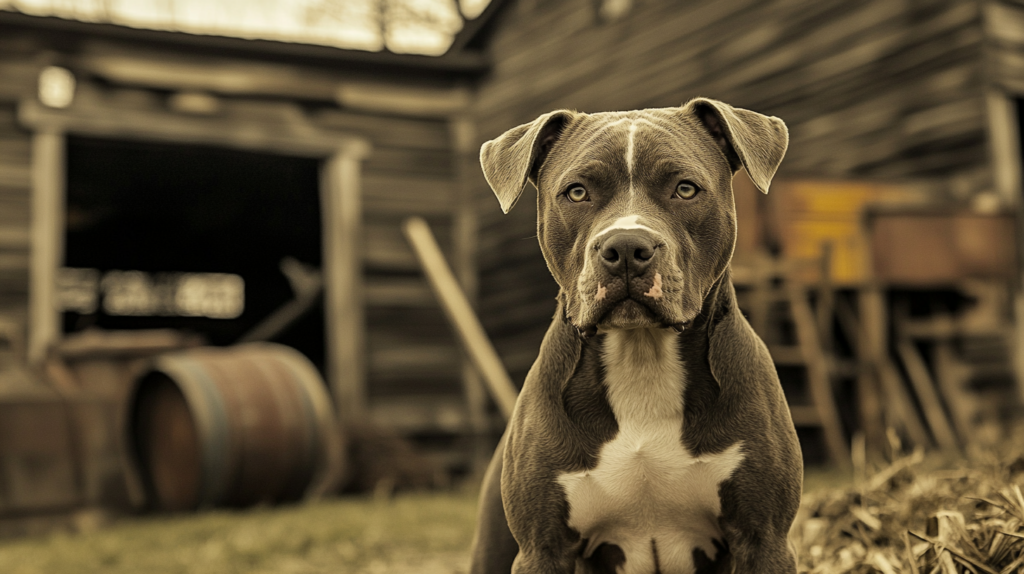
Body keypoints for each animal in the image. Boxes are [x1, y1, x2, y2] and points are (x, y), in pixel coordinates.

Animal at [468, 96, 802, 568]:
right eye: (577, 192)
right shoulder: (542, 547)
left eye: (685, 188)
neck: (641, 355)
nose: (625, 247)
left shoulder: (764, 537)